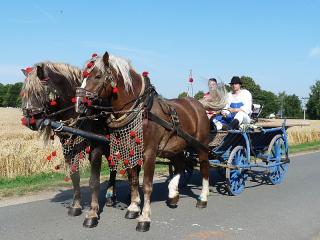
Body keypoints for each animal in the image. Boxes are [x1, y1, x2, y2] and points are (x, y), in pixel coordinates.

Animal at [20, 61, 117, 227]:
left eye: (38, 92)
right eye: (25, 94)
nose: (29, 121)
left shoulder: (96, 149)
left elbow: (94, 181)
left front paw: (92, 213)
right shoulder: (68, 148)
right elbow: (74, 177)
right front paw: (76, 206)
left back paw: (111, 196)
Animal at [77, 51, 211, 232]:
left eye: (97, 76)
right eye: (83, 76)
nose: (79, 105)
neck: (139, 109)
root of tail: (198, 104)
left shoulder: (149, 153)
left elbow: (147, 185)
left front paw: (144, 218)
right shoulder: (129, 150)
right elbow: (133, 179)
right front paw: (133, 208)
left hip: (201, 145)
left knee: (204, 167)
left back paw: (203, 198)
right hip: (174, 147)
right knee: (180, 164)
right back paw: (173, 195)